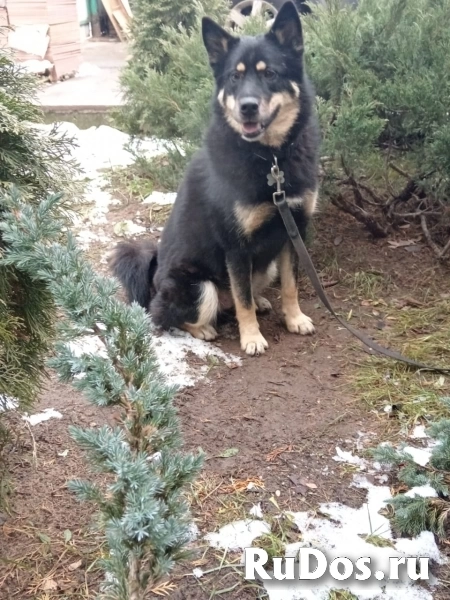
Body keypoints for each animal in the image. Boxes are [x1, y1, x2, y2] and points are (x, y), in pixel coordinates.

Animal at [109, 1, 320, 356]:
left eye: (270, 73)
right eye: (235, 77)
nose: (248, 107)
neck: (270, 159)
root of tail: (154, 278)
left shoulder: (293, 232)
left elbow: (290, 285)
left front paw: (295, 319)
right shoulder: (236, 246)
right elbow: (242, 299)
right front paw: (252, 338)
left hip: (264, 266)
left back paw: (262, 301)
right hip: (199, 285)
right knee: (169, 315)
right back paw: (204, 328)